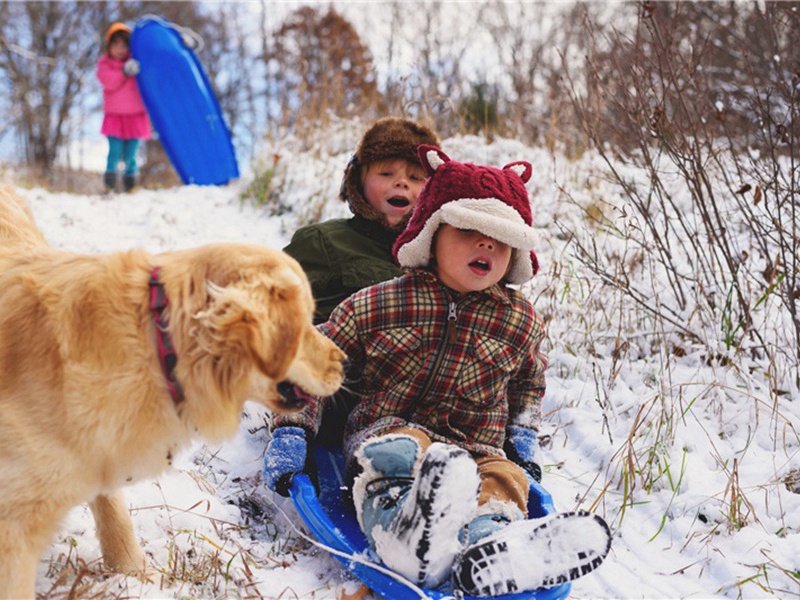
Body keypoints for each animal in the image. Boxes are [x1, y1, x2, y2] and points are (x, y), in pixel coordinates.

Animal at [0, 185, 346, 596]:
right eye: (304, 322)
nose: (344, 361)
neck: (153, 343)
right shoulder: (14, 528)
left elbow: (114, 510)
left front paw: (133, 573)